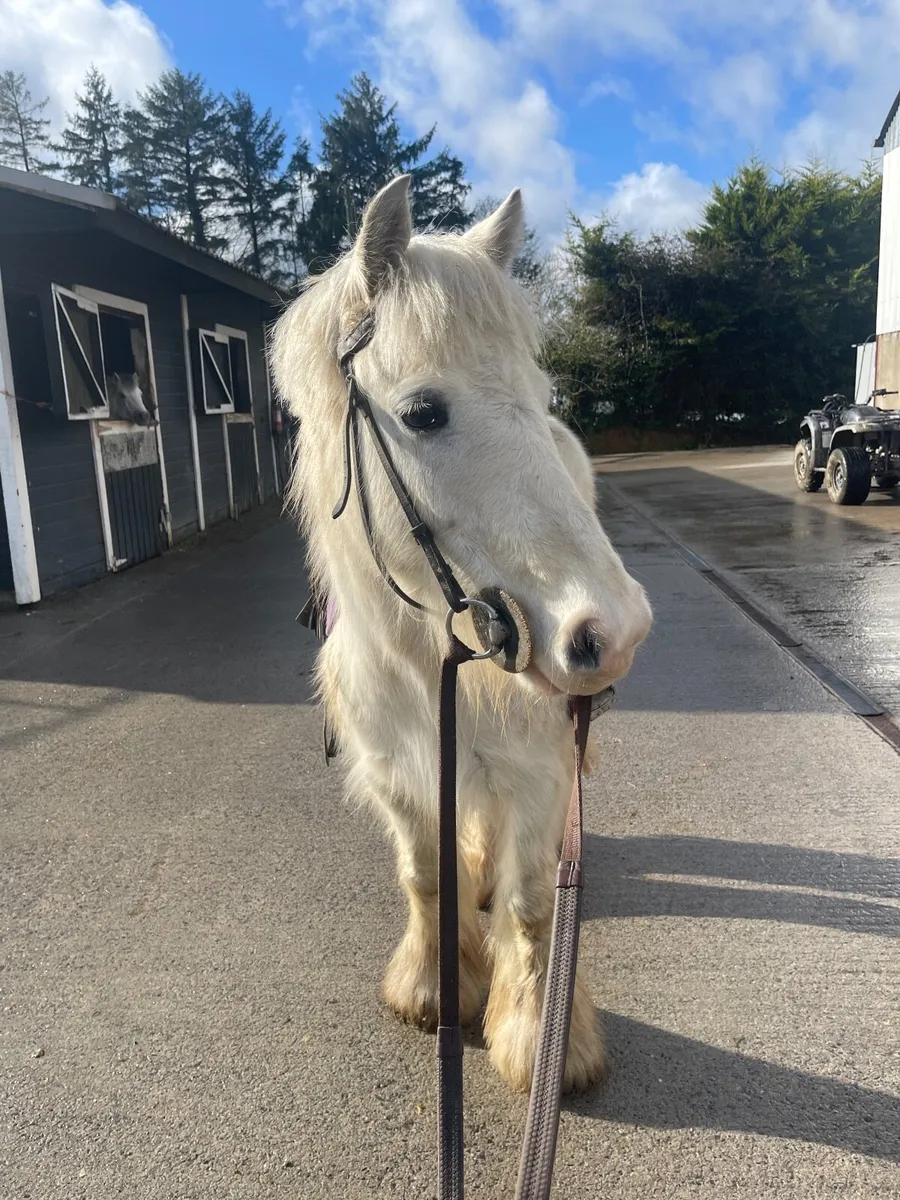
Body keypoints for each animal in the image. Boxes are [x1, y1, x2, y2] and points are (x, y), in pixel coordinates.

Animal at [271, 177, 652, 1092]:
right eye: (423, 412)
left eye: (542, 402)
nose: (612, 631)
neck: (427, 659)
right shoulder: (398, 775)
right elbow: (424, 875)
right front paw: (434, 985)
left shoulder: (539, 770)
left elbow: (532, 904)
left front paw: (544, 1039)